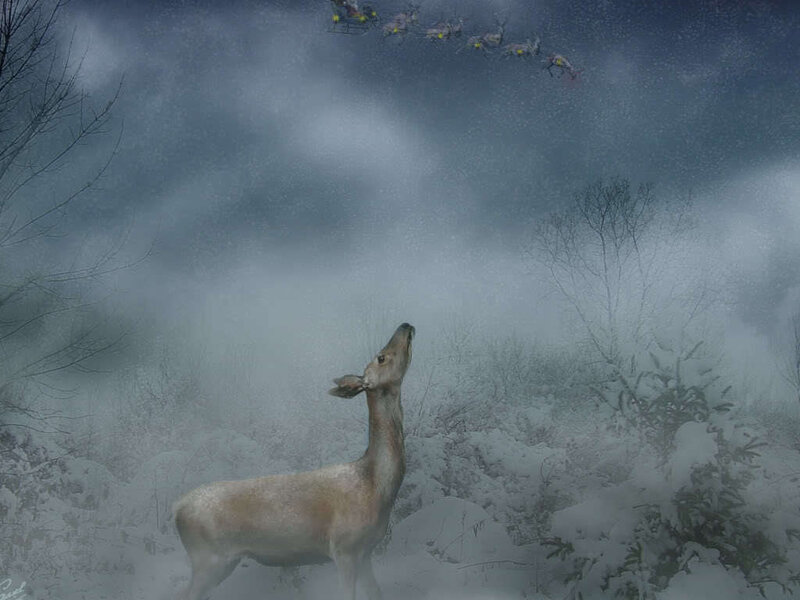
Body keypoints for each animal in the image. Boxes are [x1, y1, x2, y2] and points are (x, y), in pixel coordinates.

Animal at [173, 323, 415, 600]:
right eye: (381, 357)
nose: (405, 326)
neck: (375, 486)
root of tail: (176, 508)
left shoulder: (366, 553)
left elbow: (376, 593)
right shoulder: (344, 547)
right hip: (208, 558)